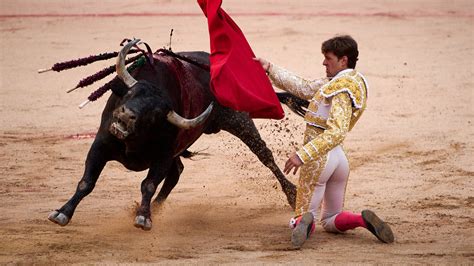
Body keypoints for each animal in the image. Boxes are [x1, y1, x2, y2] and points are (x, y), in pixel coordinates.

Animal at [49, 40, 308, 231]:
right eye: (130, 93)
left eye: (153, 114)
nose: (125, 115)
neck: (134, 141)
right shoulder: (101, 144)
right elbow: (86, 182)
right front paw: (62, 213)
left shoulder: (163, 156)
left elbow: (148, 184)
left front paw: (143, 218)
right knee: (177, 173)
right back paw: (155, 208)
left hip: (239, 120)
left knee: (265, 155)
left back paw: (292, 194)